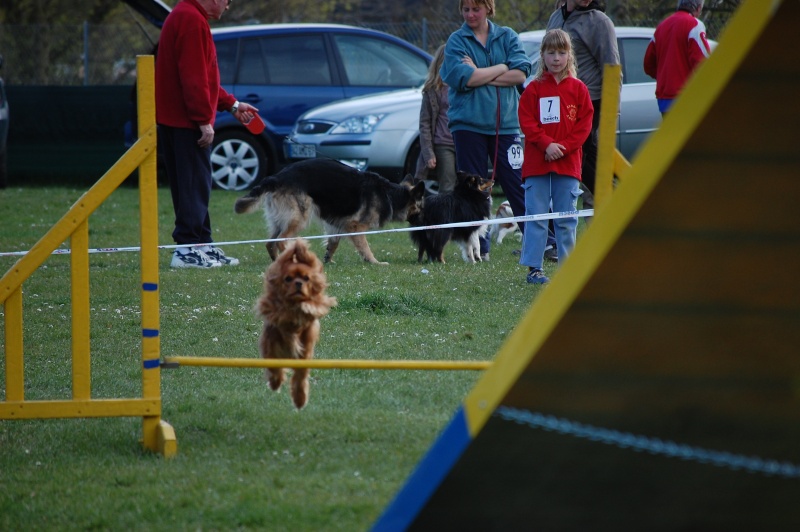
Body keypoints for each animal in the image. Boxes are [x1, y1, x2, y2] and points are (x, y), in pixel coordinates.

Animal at [234, 158, 428, 266]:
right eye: (421, 208)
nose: (425, 223)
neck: (391, 195)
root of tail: (276, 177)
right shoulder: (355, 227)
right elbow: (365, 247)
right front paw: (374, 262)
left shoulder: (337, 226)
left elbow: (333, 243)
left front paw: (328, 260)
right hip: (299, 217)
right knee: (281, 240)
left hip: (281, 219)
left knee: (270, 242)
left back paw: (278, 263)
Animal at [253, 239, 334, 410]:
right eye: (288, 279)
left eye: (306, 278)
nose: (298, 283)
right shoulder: (270, 345)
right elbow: (273, 367)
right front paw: (275, 382)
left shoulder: (305, 352)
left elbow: (300, 377)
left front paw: (300, 398)